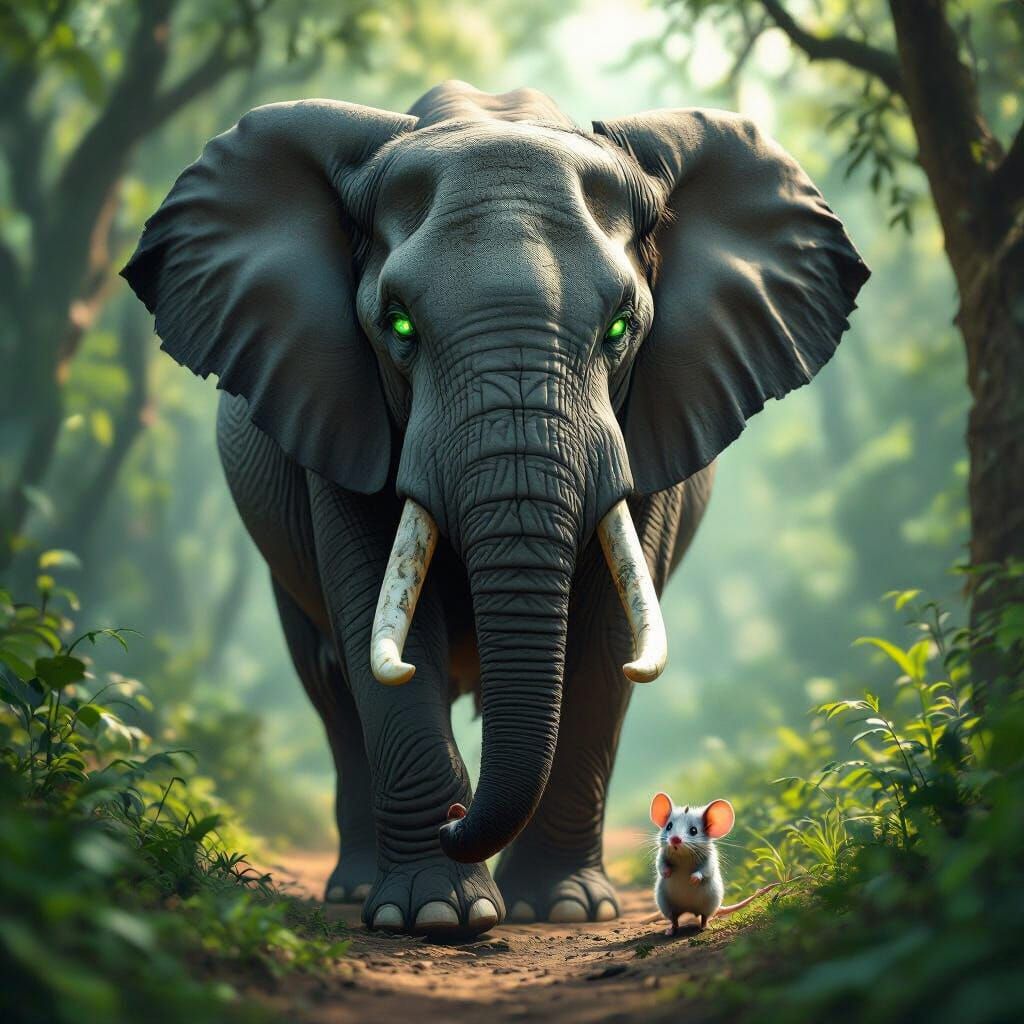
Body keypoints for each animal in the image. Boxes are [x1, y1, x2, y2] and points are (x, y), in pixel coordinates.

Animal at [122, 80, 868, 937]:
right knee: (329, 681)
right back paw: (354, 889)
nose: (455, 816)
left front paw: (563, 910)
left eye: (621, 328)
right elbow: (376, 620)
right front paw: (431, 915)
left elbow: (605, 641)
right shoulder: (339, 409)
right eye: (398, 326)